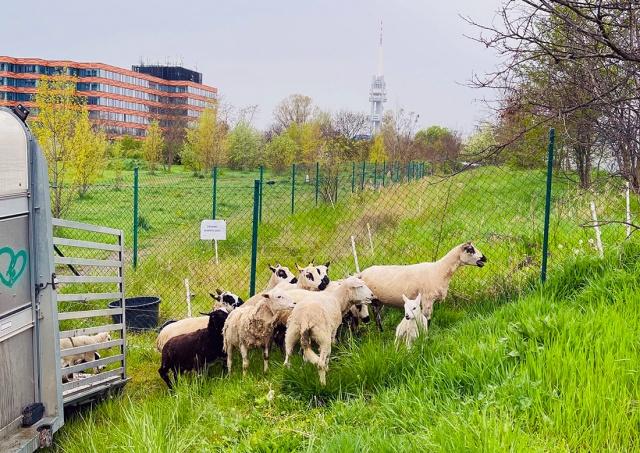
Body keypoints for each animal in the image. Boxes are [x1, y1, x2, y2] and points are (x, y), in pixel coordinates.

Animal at [358, 242, 488, 330]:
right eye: (470, 250)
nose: (485, 258)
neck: (440, 270)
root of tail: (361, 274)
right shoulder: (427, 299)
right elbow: (427, 319)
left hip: (378, 300)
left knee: (376, 313)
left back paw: (380, 330)